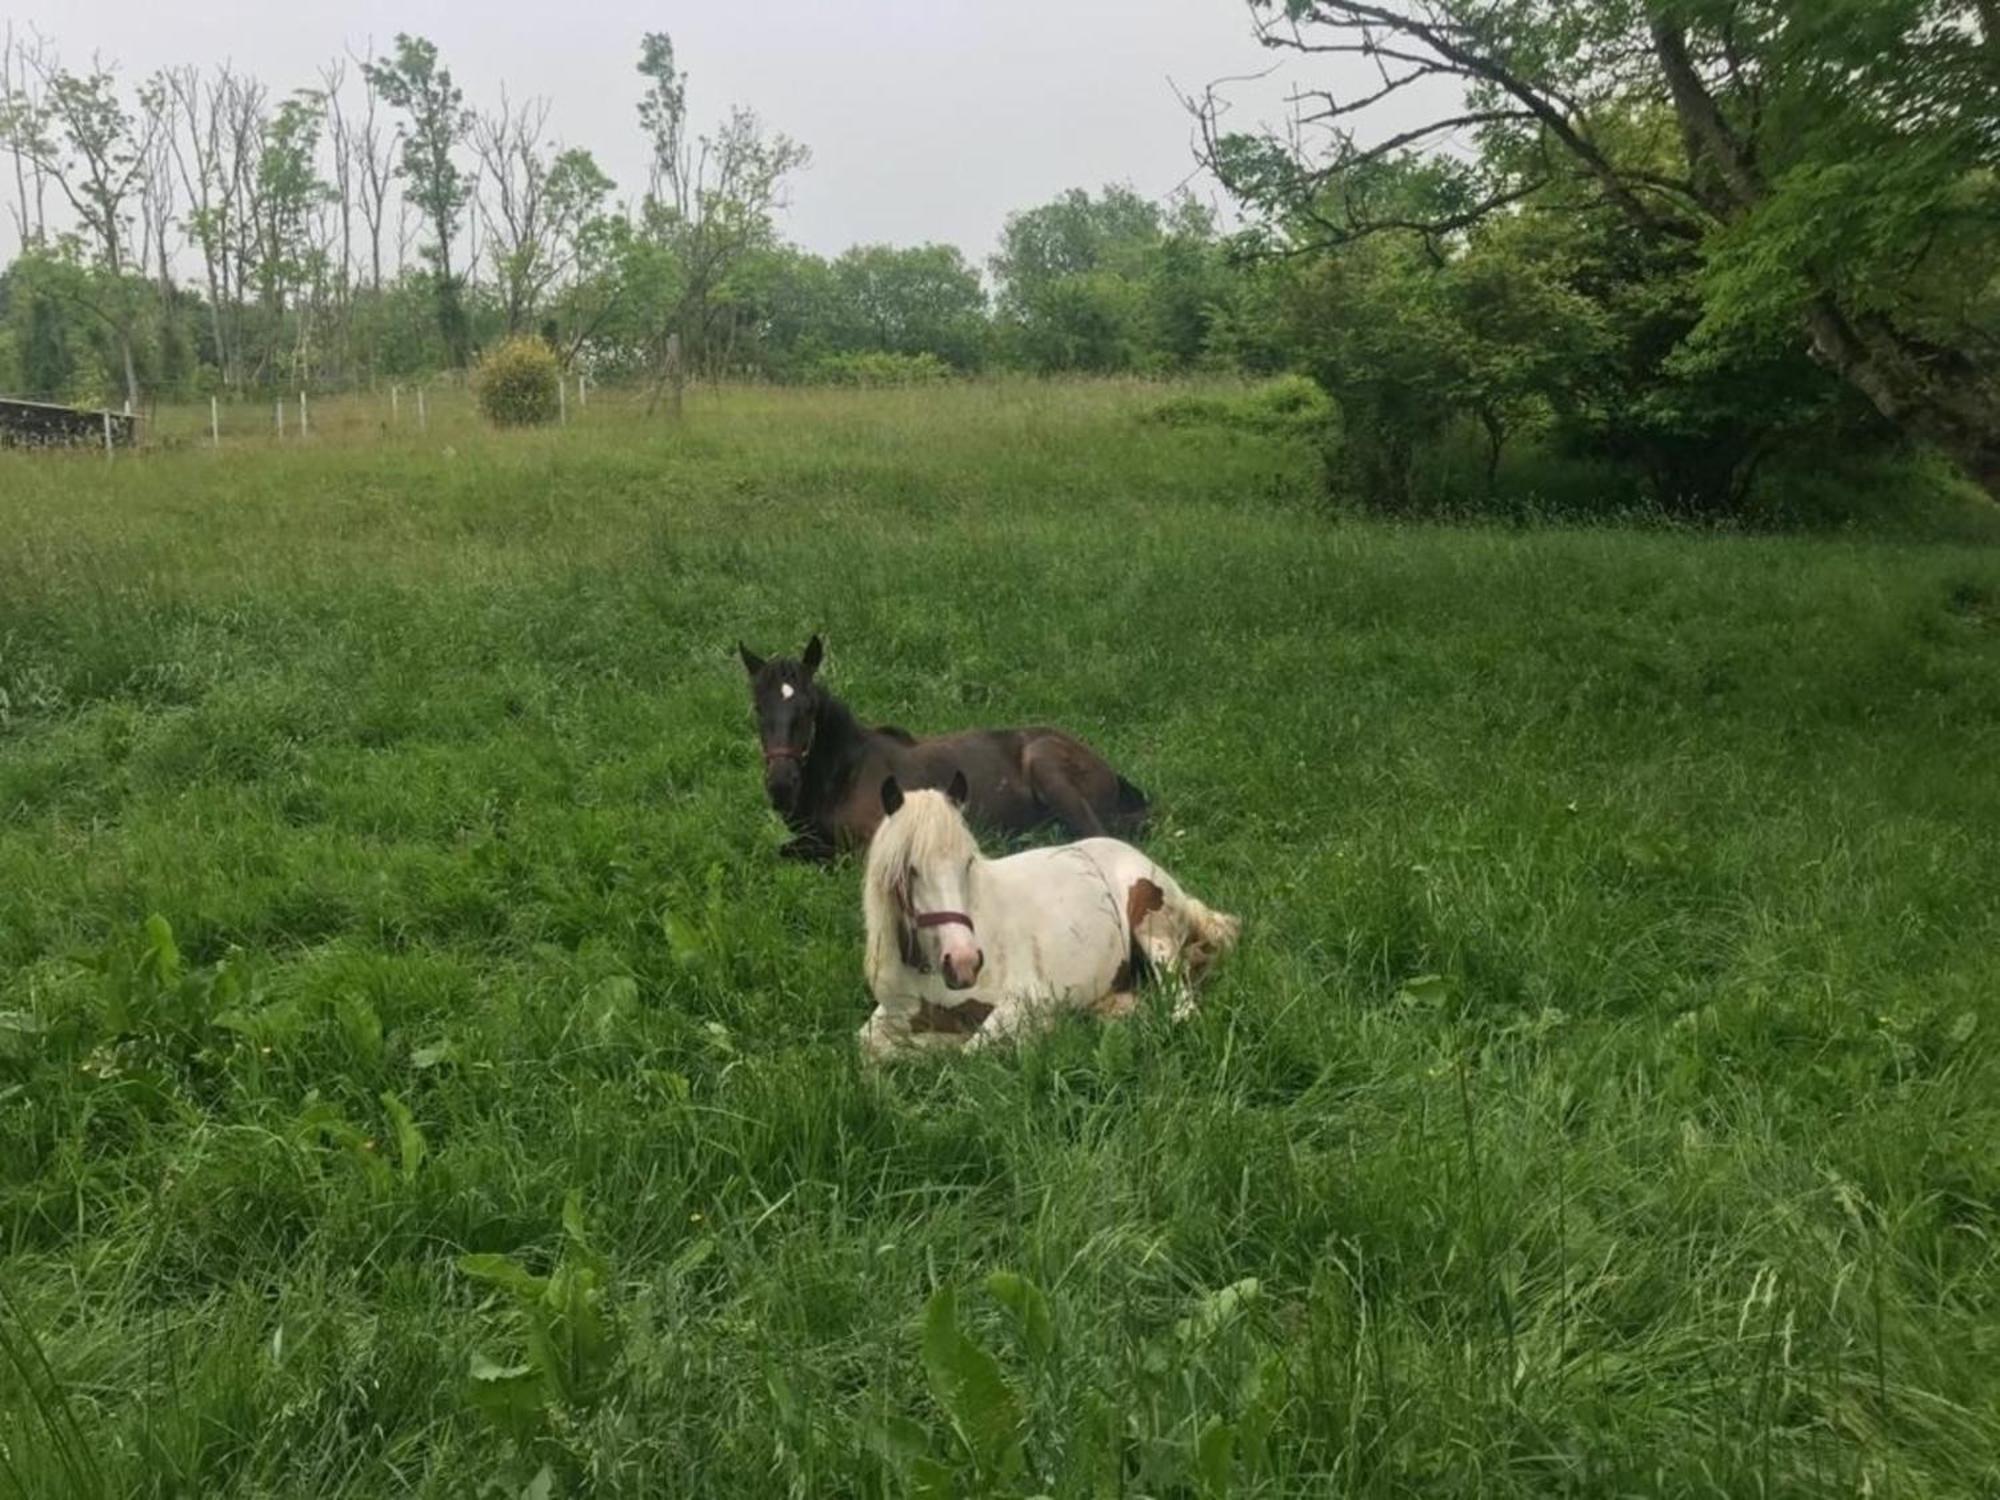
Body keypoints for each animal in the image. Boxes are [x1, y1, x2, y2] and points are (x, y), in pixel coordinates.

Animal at [740, 636, 1152, 868]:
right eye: (758, 708)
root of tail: (1108, 770)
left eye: (808, 708)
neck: (845, 773)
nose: (780, 785)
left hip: (1046, 764)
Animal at [856, 776, 1232, 1056]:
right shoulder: (894, 1013)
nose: (964, 963)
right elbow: (867, 1045)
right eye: (909, 870)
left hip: (1153, 928)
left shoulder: (1024, 1001)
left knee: (1181, 1001)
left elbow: (968, 1049)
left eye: (968, 862)